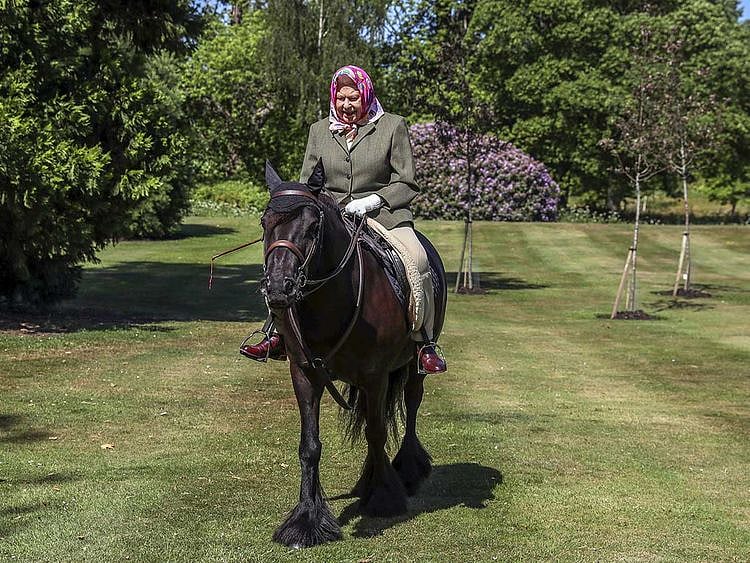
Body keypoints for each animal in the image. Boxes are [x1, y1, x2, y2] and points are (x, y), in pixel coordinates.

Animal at [259, 160, 447, 548]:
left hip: (414, 366)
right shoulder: (304, 374)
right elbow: (310, 445)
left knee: (411, 405)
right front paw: (306, 520)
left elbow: (377, 433)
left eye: (313, 227)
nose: (278, 288)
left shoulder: (375, 376)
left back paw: (406, 470)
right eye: (264, 223)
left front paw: (384, 497)